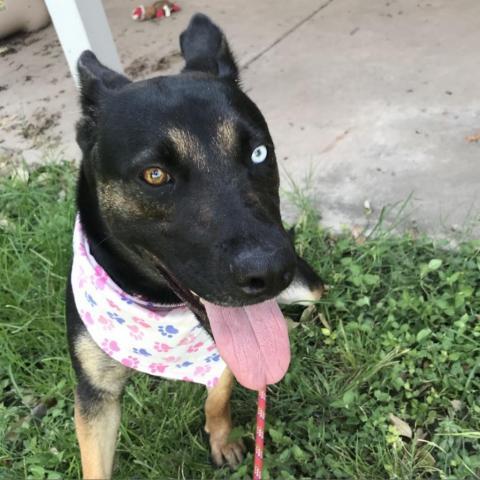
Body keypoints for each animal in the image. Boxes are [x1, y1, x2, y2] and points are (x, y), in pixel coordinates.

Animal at [66, 13, 322, 478]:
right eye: (154, 175)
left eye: (259, 153)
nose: (272, 271)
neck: (157, 301)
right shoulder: (95, 395)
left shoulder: (227, 353)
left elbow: (218, 396)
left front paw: (222, 438)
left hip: (307, 286)